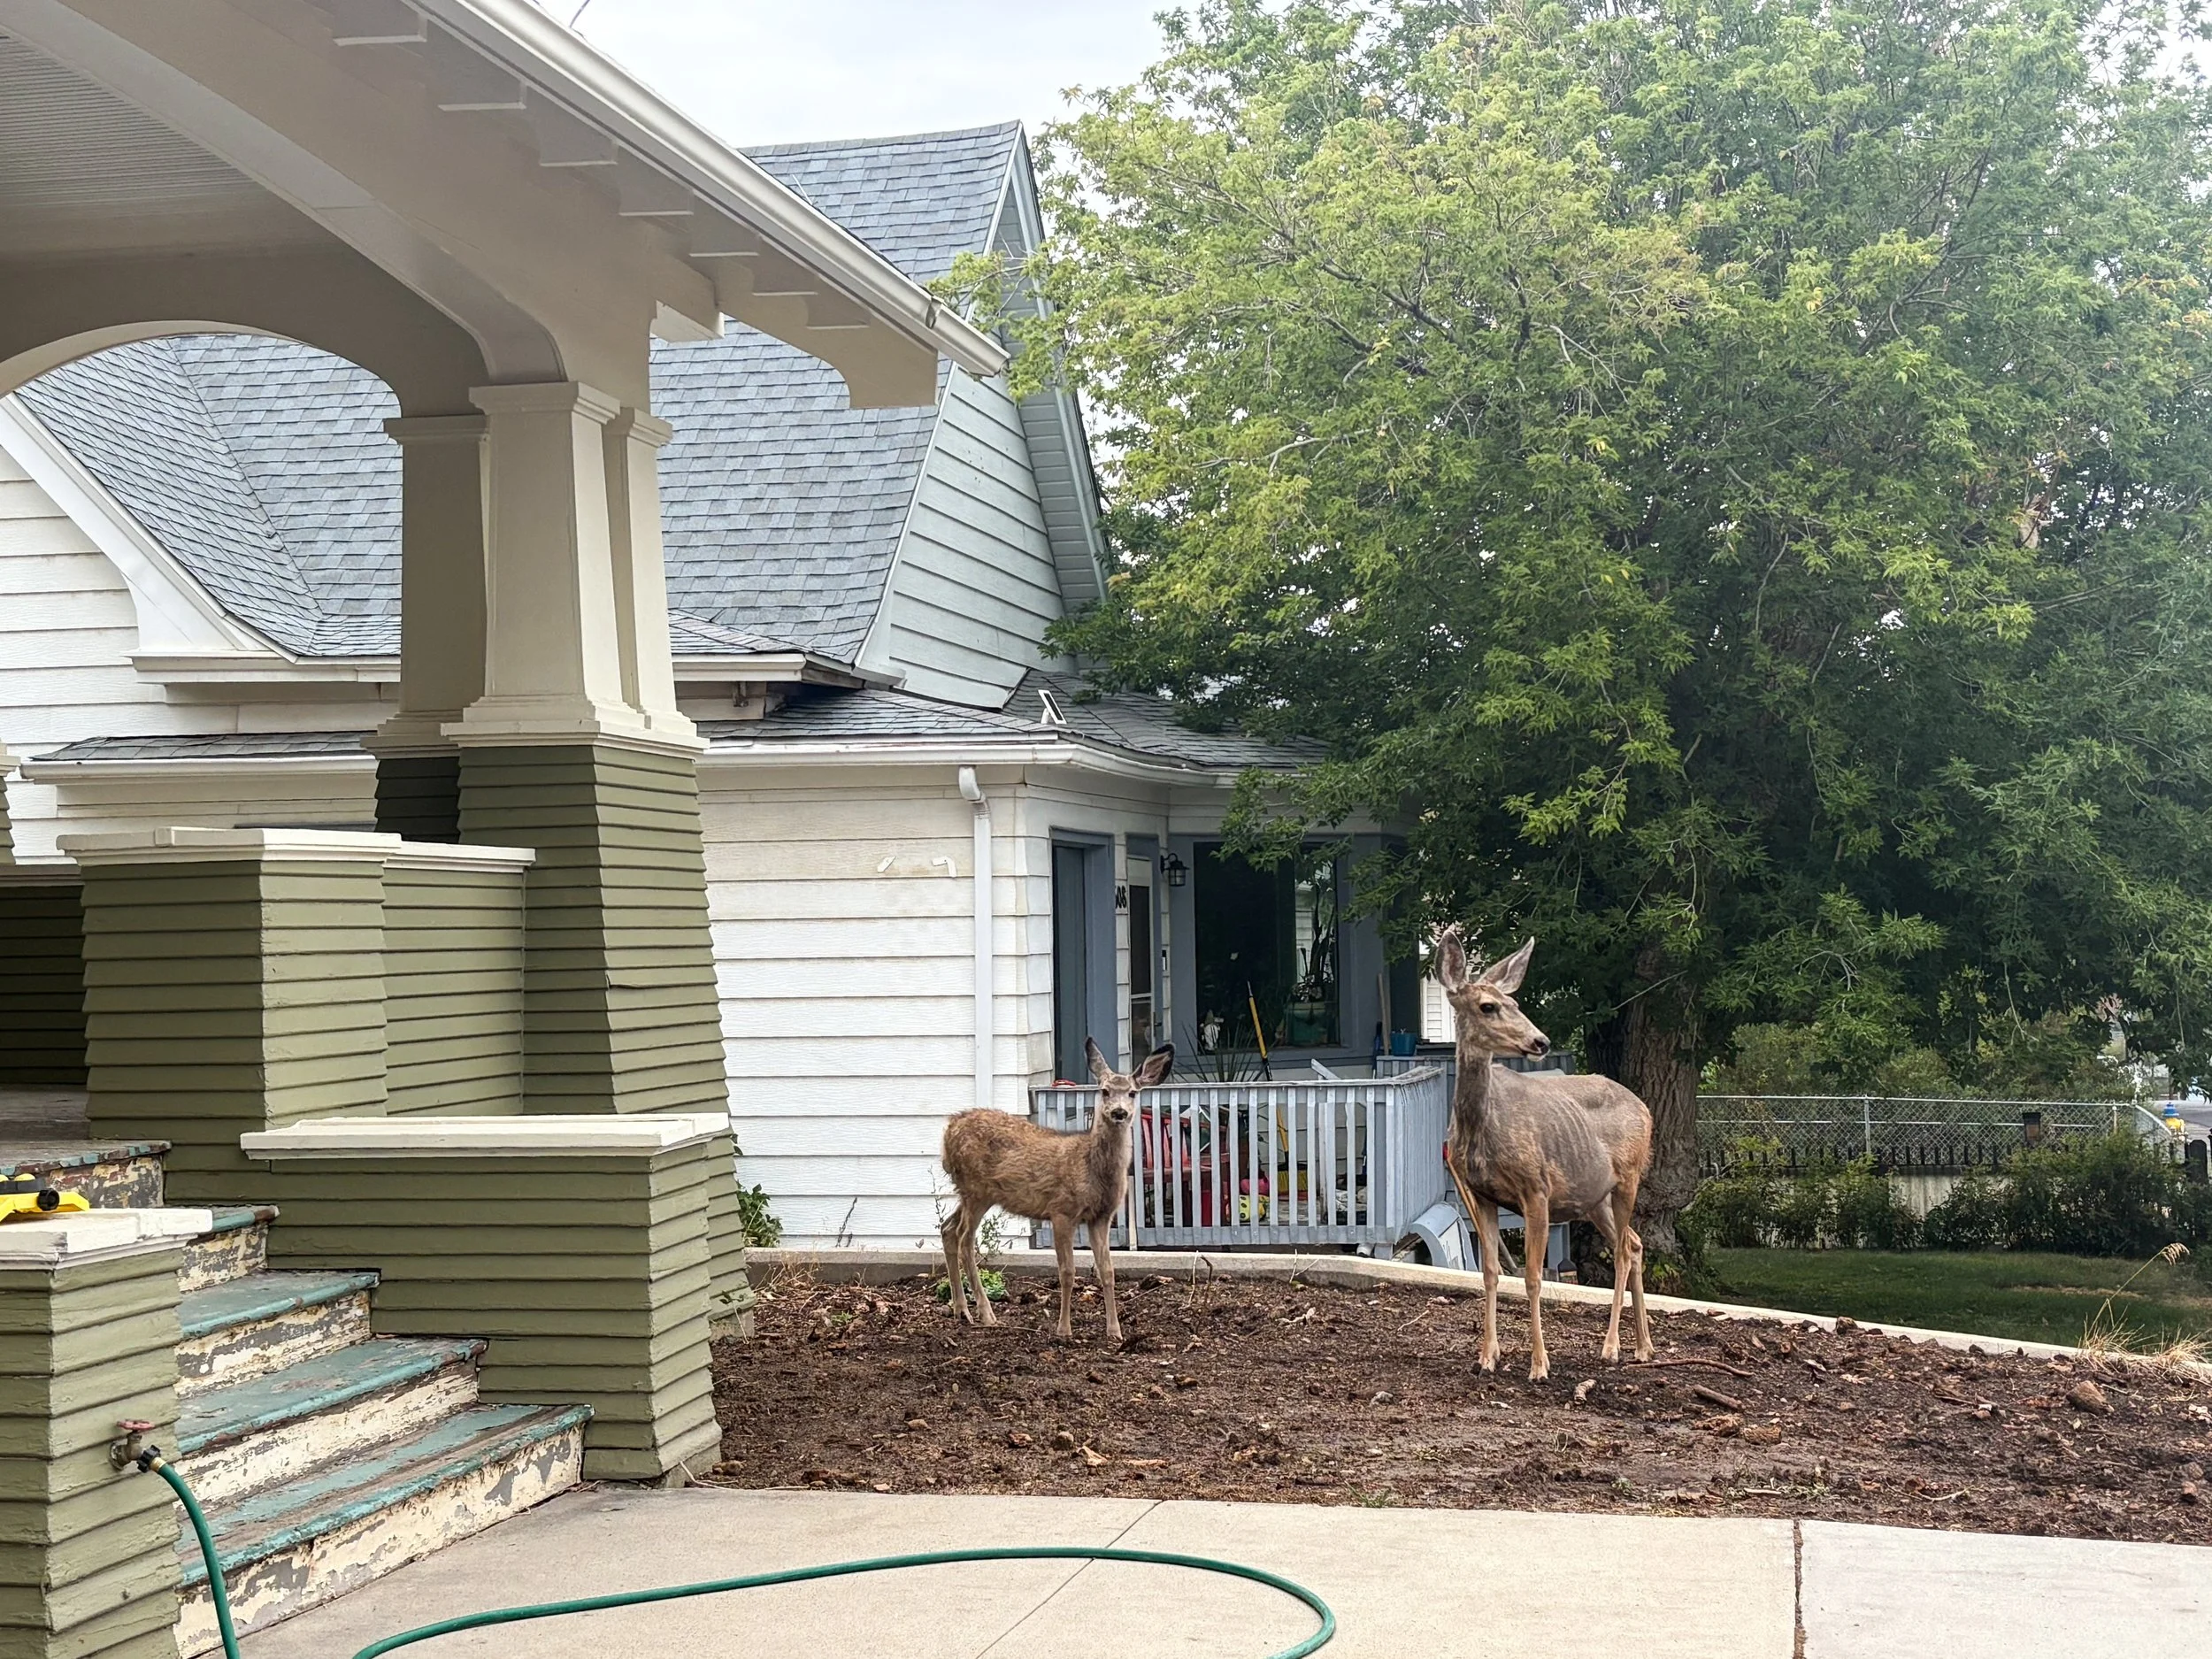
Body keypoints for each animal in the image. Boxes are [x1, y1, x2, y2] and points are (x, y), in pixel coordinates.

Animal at [940, 1038, 1174, 1342]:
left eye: (1133, 1093)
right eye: (1105, 1090)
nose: (1119, 1112)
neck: (1091, 1167)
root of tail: (949, 1129)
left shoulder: (1101, 1217)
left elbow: (1108, 1271)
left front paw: (1115, 1331)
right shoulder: (1062, 1211)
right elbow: (1067, 1272)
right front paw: (1064, 1329)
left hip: (972, 1193)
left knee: (947, 1228)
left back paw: (961, 1310)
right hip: (976, 1188)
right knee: (965, 1238)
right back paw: (987, 1314)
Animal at [1435, 929, 1654, 1381]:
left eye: (1517, 1004)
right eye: (1488, 1005)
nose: (1541, 1041)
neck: (1482, 1129)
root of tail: (1646, 1108)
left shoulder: (1536, 1188)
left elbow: (1534, 1276)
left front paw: (1539, 1364)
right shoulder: (1479, 1193)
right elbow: (1490, 1272)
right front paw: (1487, 1357)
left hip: (1629, 1177)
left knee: (1623, 1252)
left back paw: (1611, 1347)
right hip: (1594, 1197)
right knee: (1635, 1243)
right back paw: (1644, 1347)